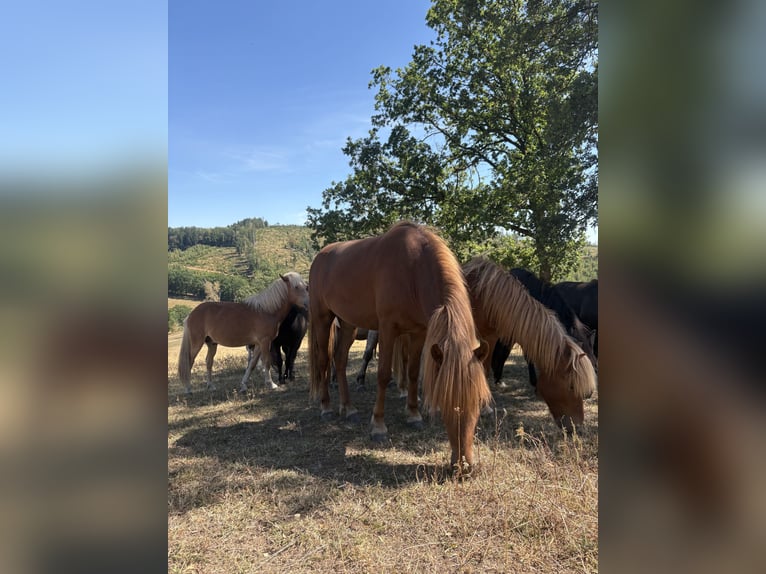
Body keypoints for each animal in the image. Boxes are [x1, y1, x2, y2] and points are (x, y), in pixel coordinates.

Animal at [177, 272, 309, 393]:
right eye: (296, 287)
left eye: (306, 287)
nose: (308, 303)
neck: (266, 311)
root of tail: (191, 314)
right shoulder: (265, 342)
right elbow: (266, 362)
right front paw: (271, 384)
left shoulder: (258, 344)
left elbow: (252, 364)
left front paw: (244, 385)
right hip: (196, 343)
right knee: (189, 361)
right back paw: (188, 388)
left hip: (211, 343)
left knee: (209, 362)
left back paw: (211, 386)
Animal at [308, 221, 491, 472]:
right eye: (444, 401)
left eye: (478, 402)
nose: (463, 466)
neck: (413, 269)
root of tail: (319, 257)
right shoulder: (387, 328)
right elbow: (384, 375)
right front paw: (378, 426)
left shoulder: (420, 332)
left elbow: (413, 373)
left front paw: (413, 415)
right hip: (322, 318)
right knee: (325, 361)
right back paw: (326, 407)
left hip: (348, 323)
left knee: (341, 359)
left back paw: (349, 408)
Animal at [462, 257, 597, 432]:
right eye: (571, 386)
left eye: (595, 363)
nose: (576, 427)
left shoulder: (493, 337)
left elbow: (485, 366)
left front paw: (485, 405)